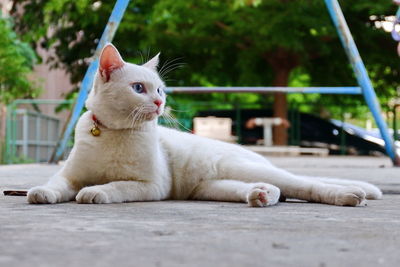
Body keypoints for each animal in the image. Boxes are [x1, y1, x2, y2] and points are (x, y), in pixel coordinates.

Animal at [26, 43, 382, 207]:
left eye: (159, 90)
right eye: (139, 88)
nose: (160, 103)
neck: (114, 132)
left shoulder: (151, 185)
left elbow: (115, 186)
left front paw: (95, 191)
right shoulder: (70, 176)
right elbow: (57, 184)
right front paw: (41, 192)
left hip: (245, 169)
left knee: (305, 185)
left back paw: (350, 195)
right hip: (212, 186)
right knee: (276, 189)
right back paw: (261, 195)